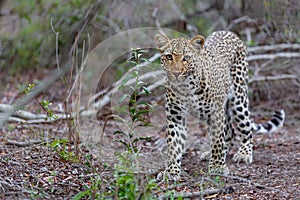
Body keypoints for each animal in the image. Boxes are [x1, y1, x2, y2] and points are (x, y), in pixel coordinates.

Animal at [154, 30, 284, 181]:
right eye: (169, 57)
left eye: (186, 58)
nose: (176, 73)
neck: (186, 87)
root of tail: (228, 32)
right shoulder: (175, 116)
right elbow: (174, 145)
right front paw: (171, 171)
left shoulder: (215, 112)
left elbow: (217, 141)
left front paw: (217, 167)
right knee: (229, 132)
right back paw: (212, 153)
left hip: (238, 98)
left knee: (244, 129)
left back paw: (244, 154)